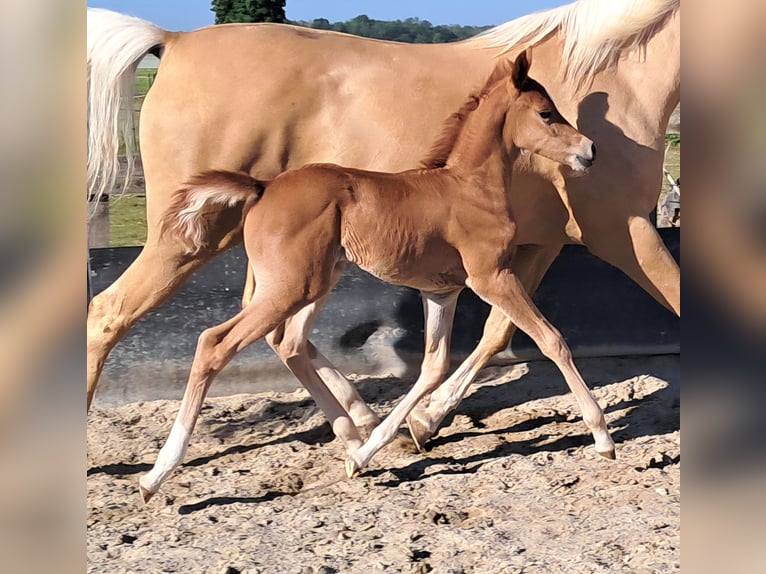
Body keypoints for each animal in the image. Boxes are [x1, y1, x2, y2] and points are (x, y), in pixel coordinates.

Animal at [87, 0, 680, 448]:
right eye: (547, 113)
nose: (589, 151)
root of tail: (172, 40)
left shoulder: (534, 247)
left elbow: (496, 334)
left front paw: (424, 420)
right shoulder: (623, 232)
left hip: (294, 266)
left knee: (280, 336)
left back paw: (359, 425)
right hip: (190, 241)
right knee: (110, 313)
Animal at [138, 52, 614, 502]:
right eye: (546, 113)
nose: (590, 150)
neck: (469, 187)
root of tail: (263, 188)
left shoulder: (441, 292)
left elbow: (433, 366)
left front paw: (371, 452)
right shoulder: (491, 277)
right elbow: (552, 339)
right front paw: (602, 436)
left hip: (316, 282)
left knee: (289, 343)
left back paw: (351, 436)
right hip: (292, 287)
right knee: (215, 343)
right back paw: (156, 474)